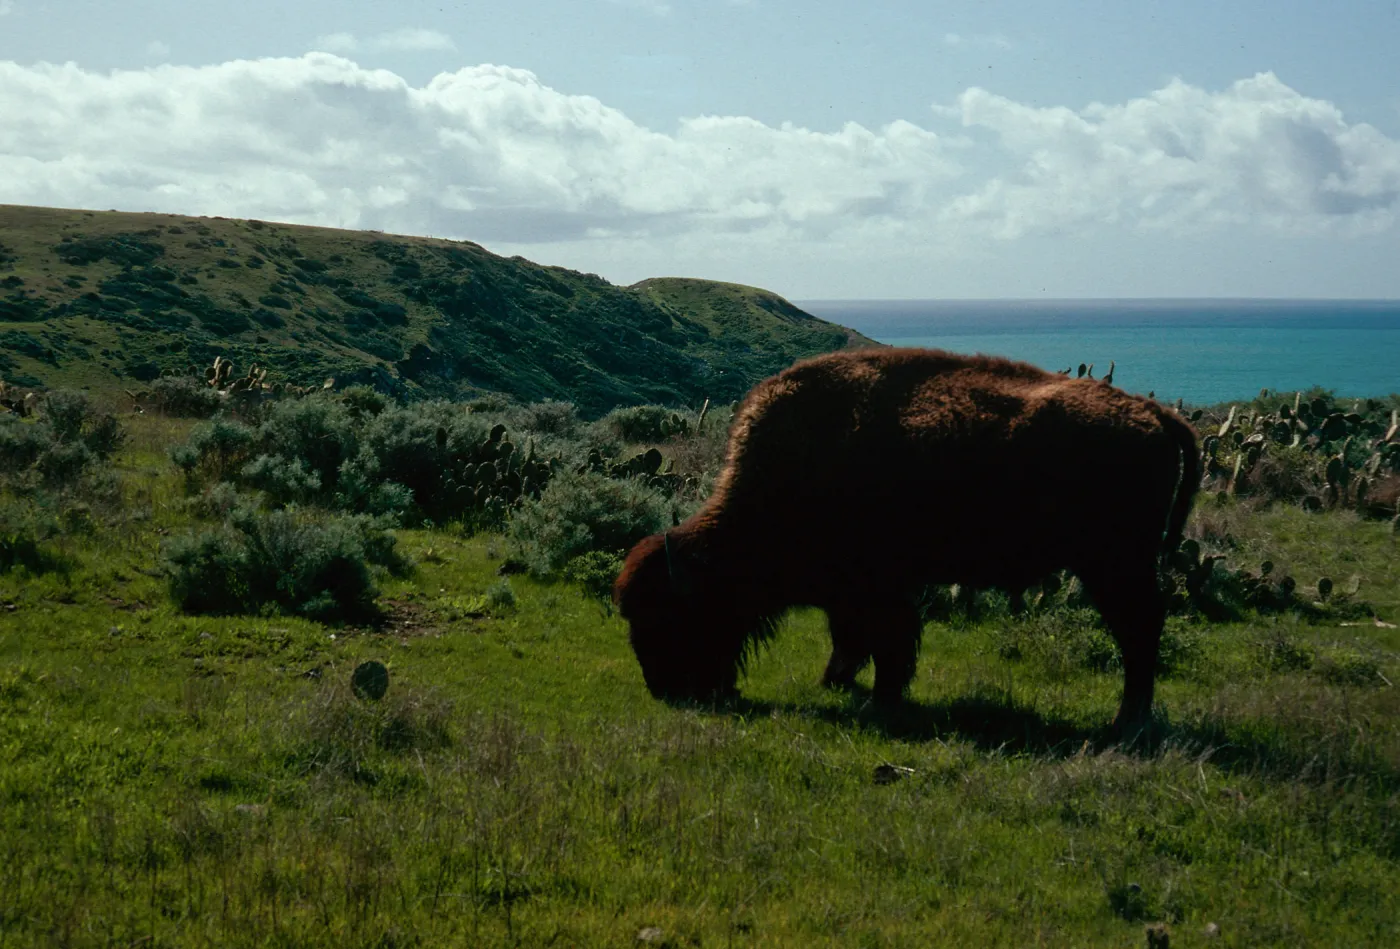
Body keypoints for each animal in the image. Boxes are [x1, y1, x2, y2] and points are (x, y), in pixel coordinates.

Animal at [614, 348, 1200, 736]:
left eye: (669, 615)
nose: (664, 689)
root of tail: (1153, 413)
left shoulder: (880, 590)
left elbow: (887, 643)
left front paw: (880, 699)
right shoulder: (849, 593)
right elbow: (851, 639)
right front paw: (838, 682)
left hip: (1114, 567)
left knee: (1140, 630)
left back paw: (1127, 721)